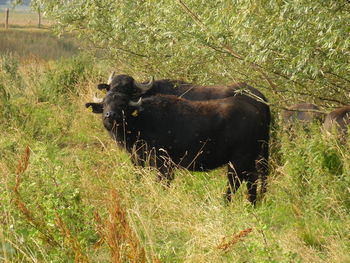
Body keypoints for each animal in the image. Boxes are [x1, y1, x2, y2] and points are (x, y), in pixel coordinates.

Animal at [85, 89, 270, 205]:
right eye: (105, 104)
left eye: (122, 104)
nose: (110, 115)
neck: (143, 120)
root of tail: (259, 110)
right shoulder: (139, 160)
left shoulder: (164, 163)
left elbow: (163, 183)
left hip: (240, 160)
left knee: (236, 182)